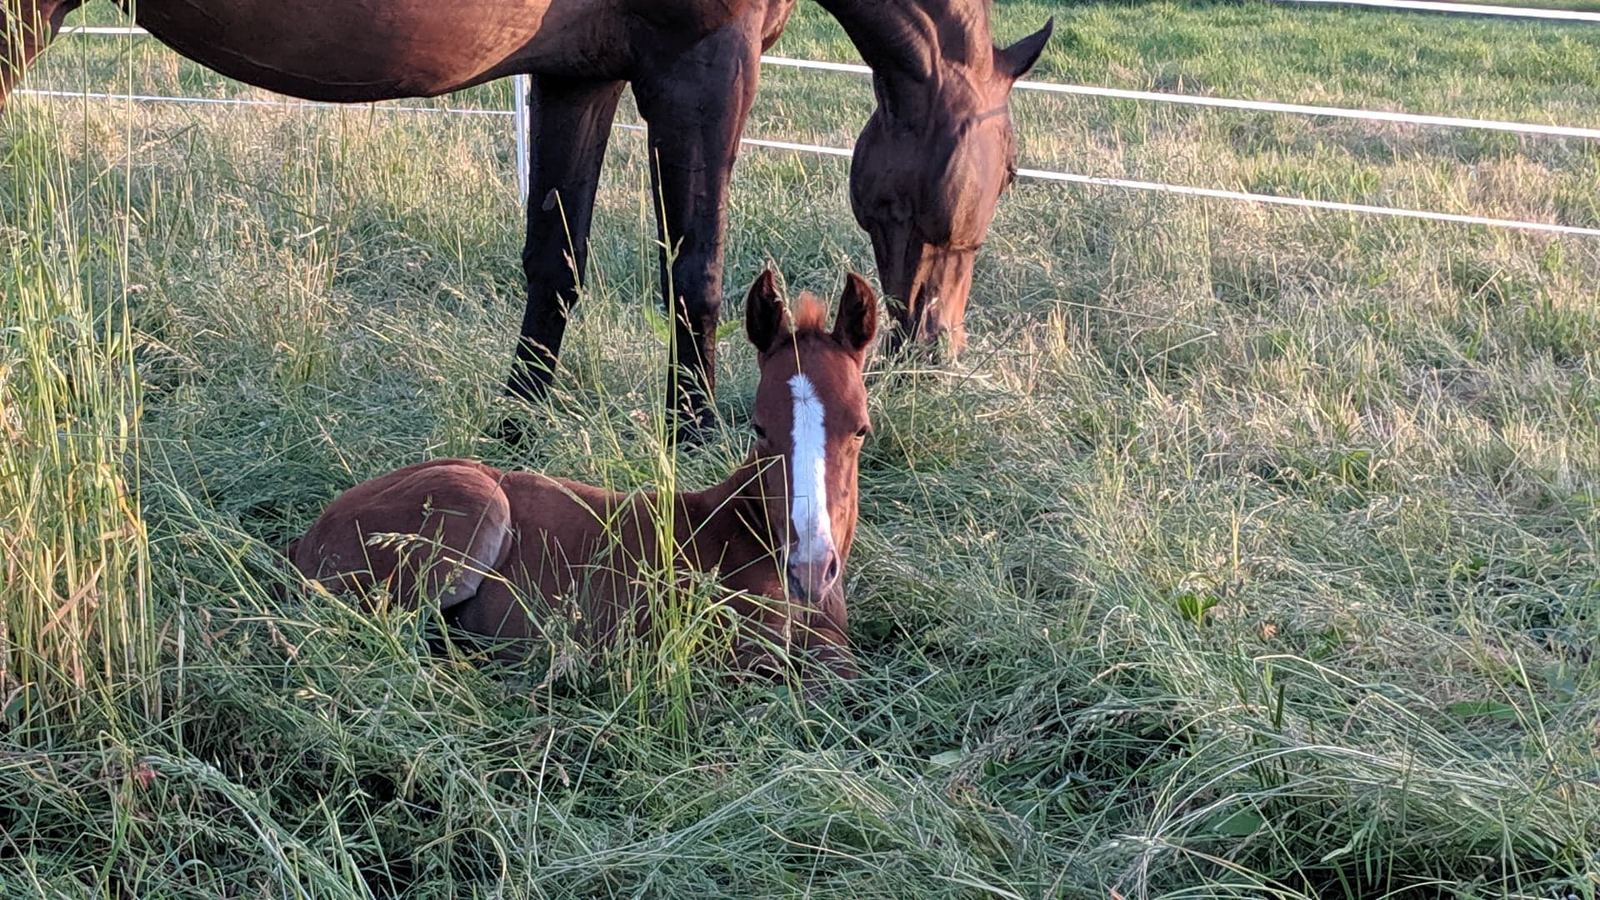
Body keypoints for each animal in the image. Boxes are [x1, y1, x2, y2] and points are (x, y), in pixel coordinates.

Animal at [1, 0, 1049, 429]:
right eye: (1009, 173)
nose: (941, 347)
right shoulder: (703, 66)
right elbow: (695, 269)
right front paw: (694, 437)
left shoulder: (578, 75)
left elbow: (557, 262)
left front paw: (516, 430)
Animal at [285, 269, 876, 679]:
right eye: (758, 428)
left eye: (861, 429)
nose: (810, 566)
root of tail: (307, 537)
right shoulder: (732, 657)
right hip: (472, 507)